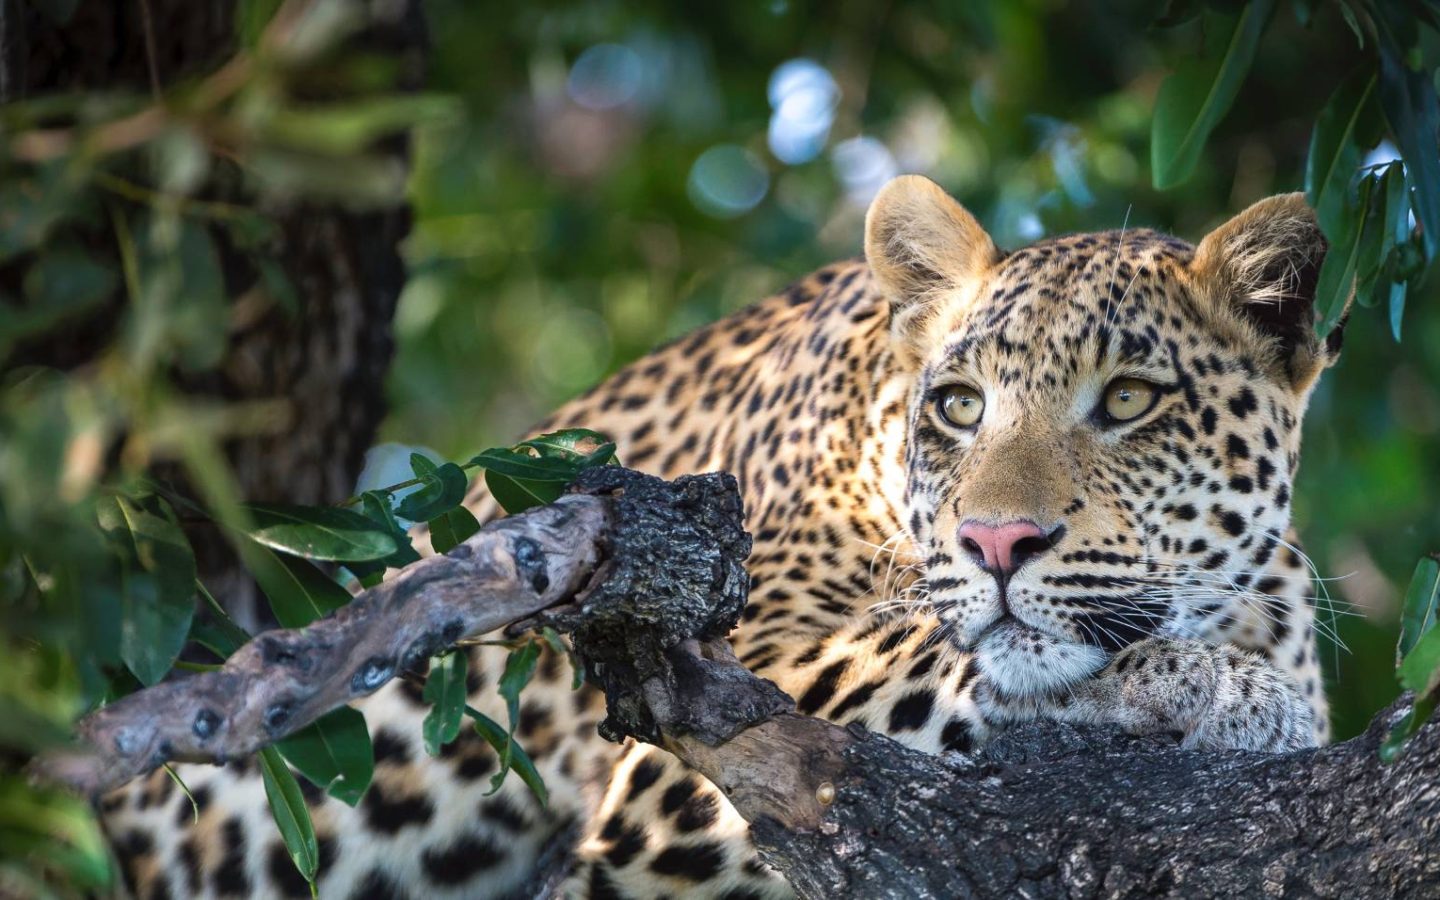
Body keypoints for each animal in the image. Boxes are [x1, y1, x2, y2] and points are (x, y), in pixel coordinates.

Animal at [101, 176, 1342, 900]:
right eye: (959, 407)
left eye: (1129, 401)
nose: (998, 542)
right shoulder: (691, 730)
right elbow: (937, 654)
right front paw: (1209, 688)